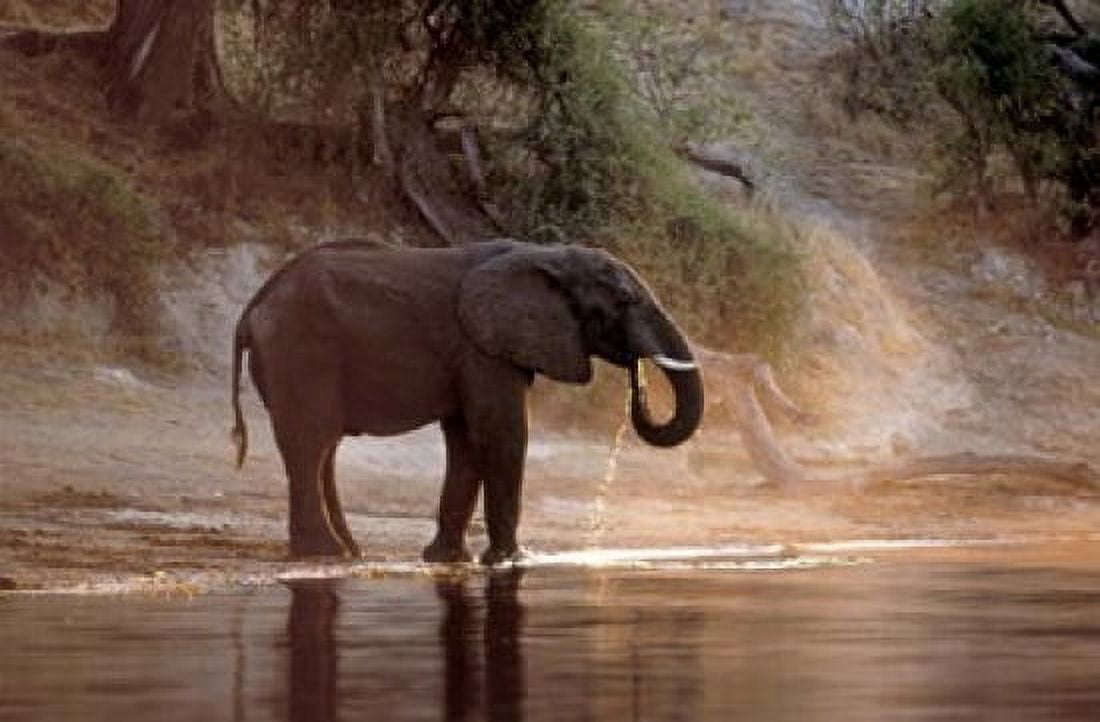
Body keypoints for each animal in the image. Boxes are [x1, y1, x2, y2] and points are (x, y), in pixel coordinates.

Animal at [230, 238, 703, 564]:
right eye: (624, 301)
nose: (636, 376)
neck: (547, 254)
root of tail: (254, 304)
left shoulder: (476, 351)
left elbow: (466, 440)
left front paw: (448, 560)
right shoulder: (482, 348)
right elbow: (501, 433)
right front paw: (512, 560)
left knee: (322, 448)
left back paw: (349, 551)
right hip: (300, 351)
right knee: (310, 444)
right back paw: (324, 553)